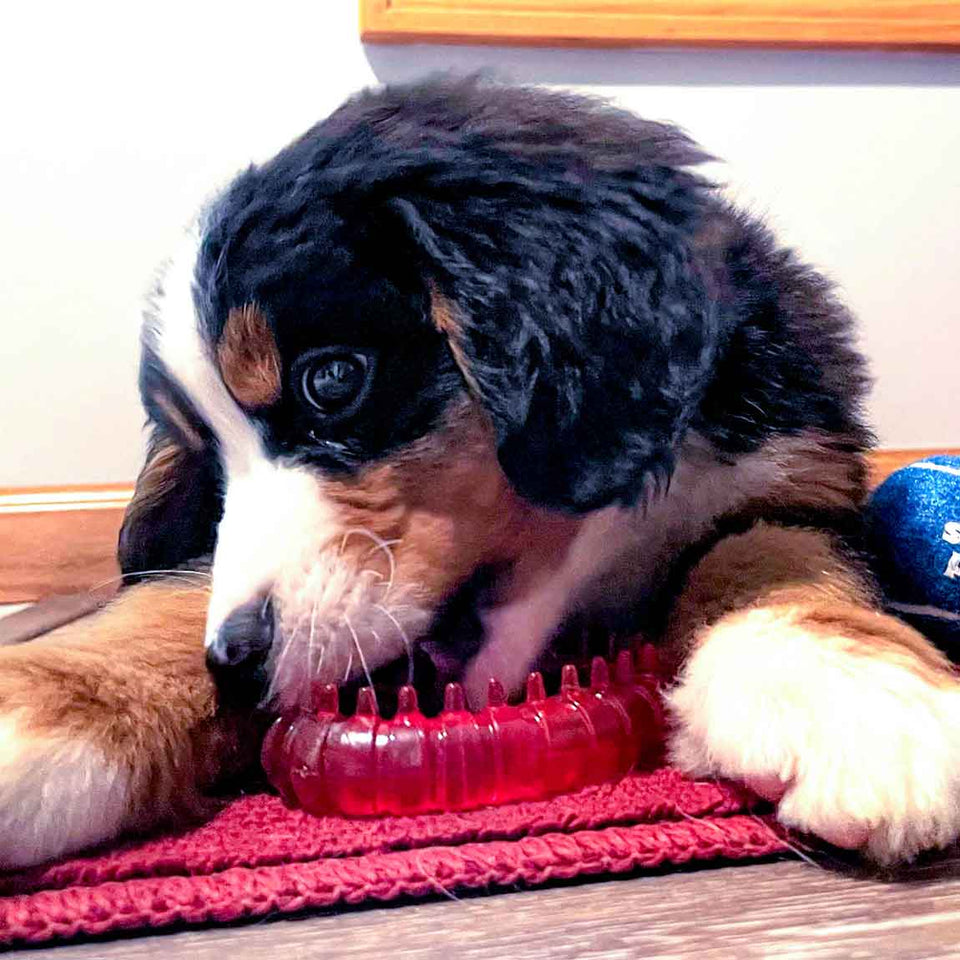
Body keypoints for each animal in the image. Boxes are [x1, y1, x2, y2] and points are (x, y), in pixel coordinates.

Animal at [1, 77, 960, 872]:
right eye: (207, 462)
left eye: (333, 380)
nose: (236, 660)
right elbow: (167, 602)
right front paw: (41, 705)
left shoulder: (796, 475)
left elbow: (770, 558)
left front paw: (853, 697)